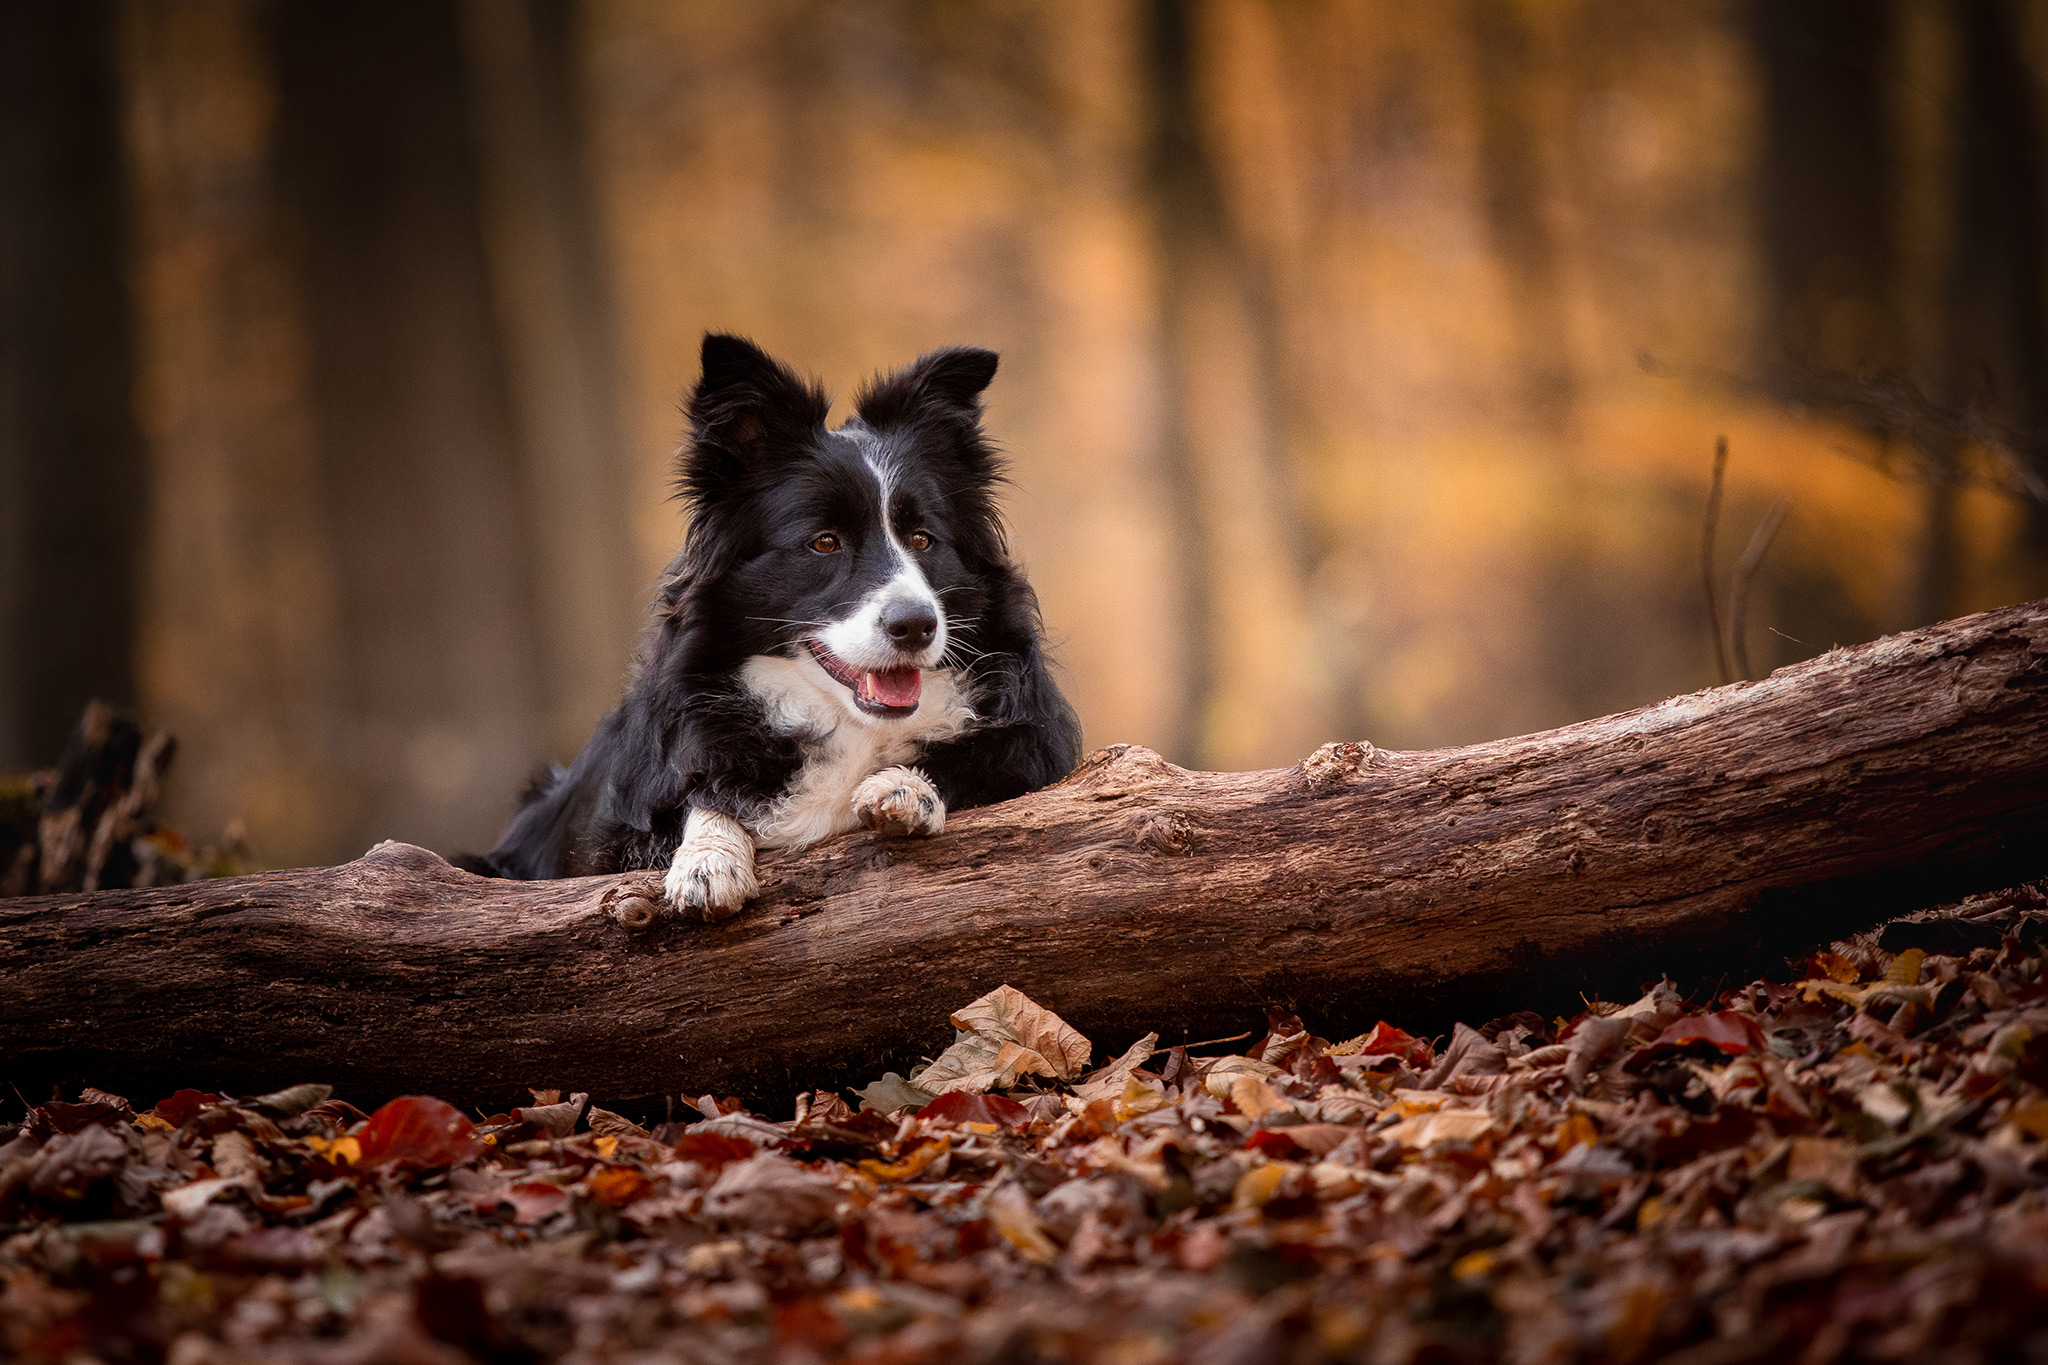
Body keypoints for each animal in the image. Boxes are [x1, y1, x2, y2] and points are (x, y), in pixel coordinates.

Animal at [460, 335, 1073, 925]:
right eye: (823, 542)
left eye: (923, 539)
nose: (916, 625)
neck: (847, 725)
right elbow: (699, 797)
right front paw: (708, 864)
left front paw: (905, 788)